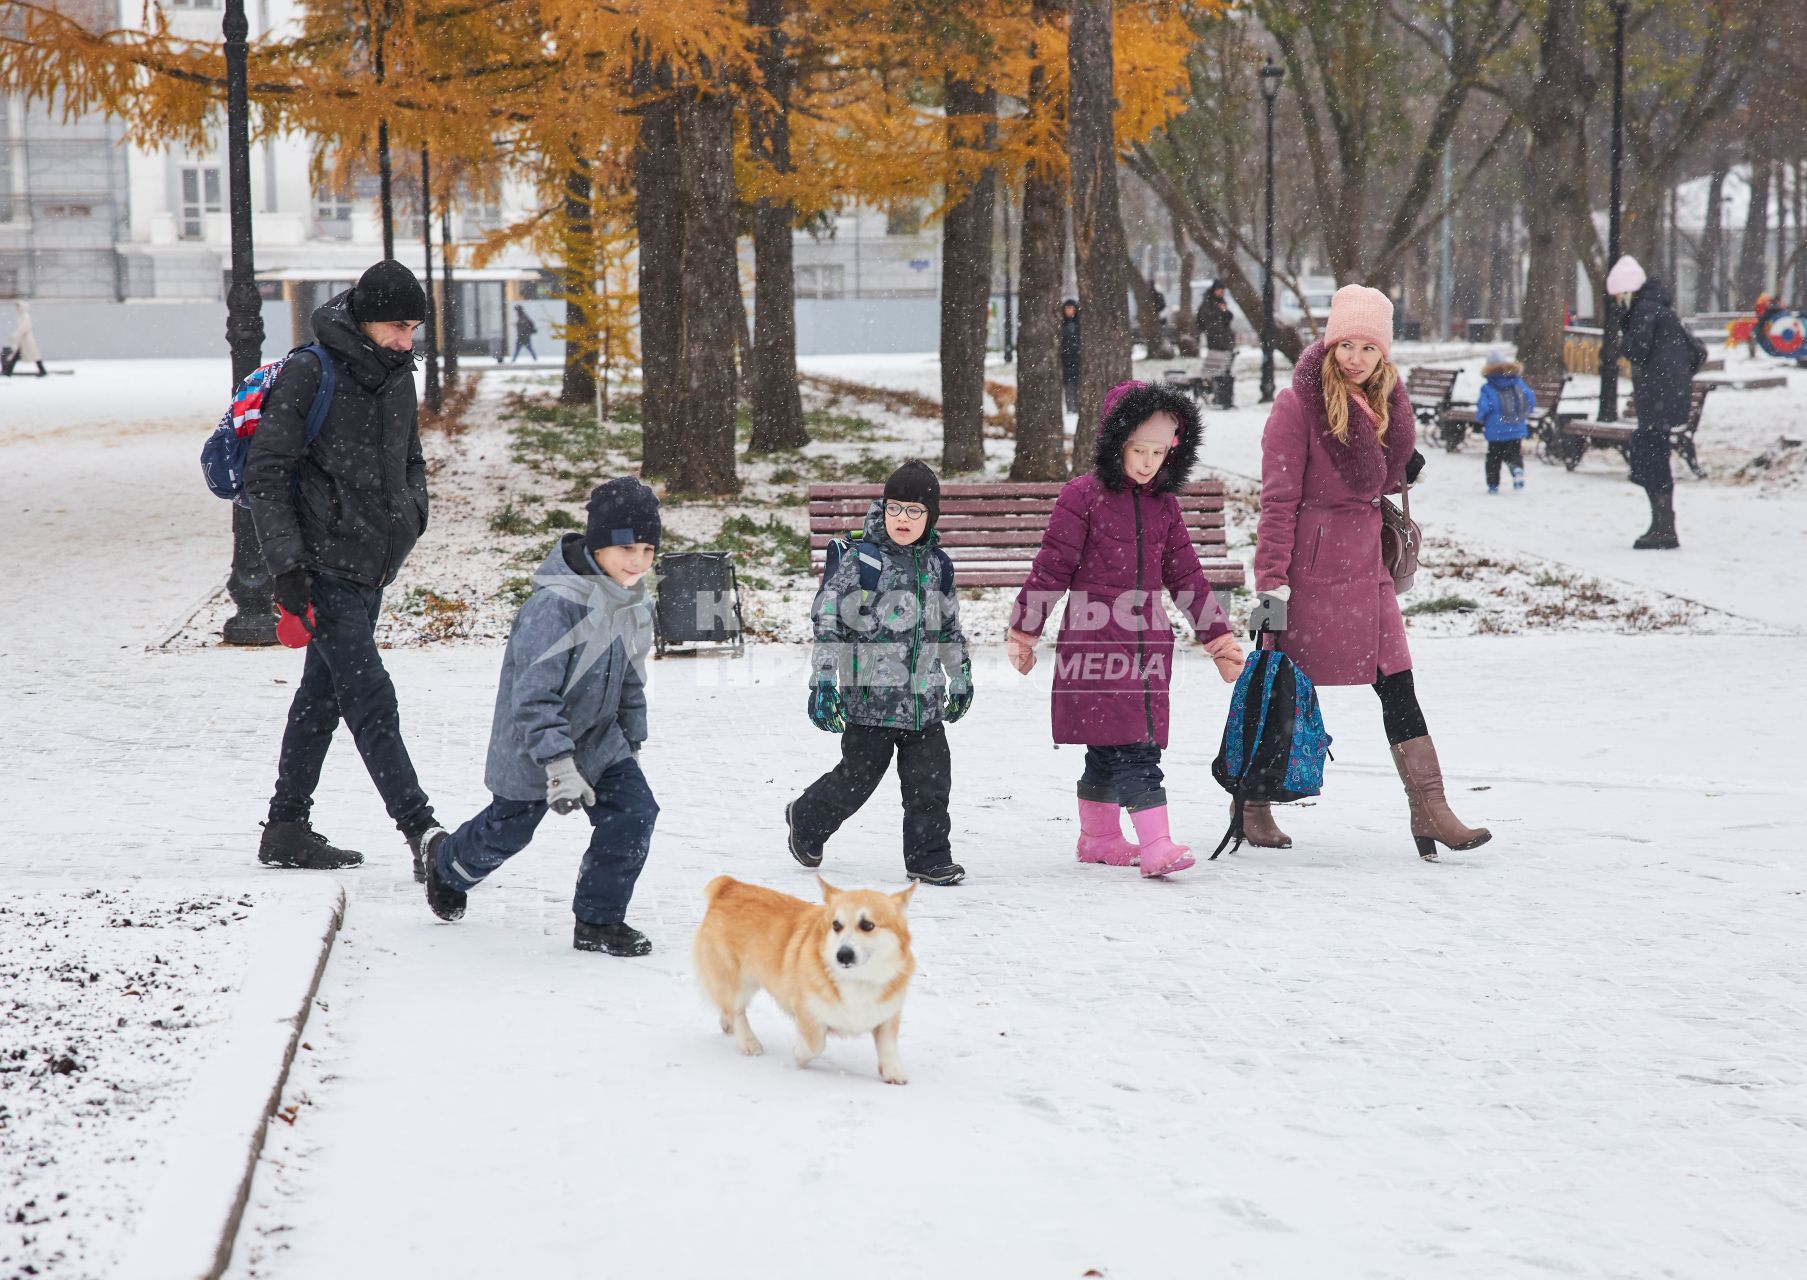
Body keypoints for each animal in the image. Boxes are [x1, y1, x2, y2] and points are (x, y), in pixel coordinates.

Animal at [690, 875, 917, 1084]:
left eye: (868, 925)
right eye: (836, 925)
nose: (843, 955)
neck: (858, 979)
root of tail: (729, 886)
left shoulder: (888, 1015)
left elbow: (888, 1046)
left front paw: (893, 1072)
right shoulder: (807, 1010)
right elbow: (815, 1044)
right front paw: (799, 1055)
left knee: (726, 1006)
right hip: (736, 979)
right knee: (737, 1011)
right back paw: (749, 1043)